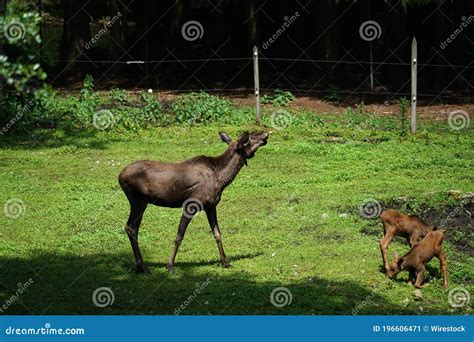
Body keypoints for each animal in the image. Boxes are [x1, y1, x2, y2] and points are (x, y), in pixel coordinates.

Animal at [118, 131, 268, 272]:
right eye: (249, 139)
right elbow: (179, 235)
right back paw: (142, 266)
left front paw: (225, 262)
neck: (221, 179)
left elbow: (217, 233)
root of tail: (119, 176)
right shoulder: (190, 205)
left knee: (132, 227)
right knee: (131, 227)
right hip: (138, 201)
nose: (266, 134)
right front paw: (170, 265)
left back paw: (140, 266)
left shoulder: (211, 206)